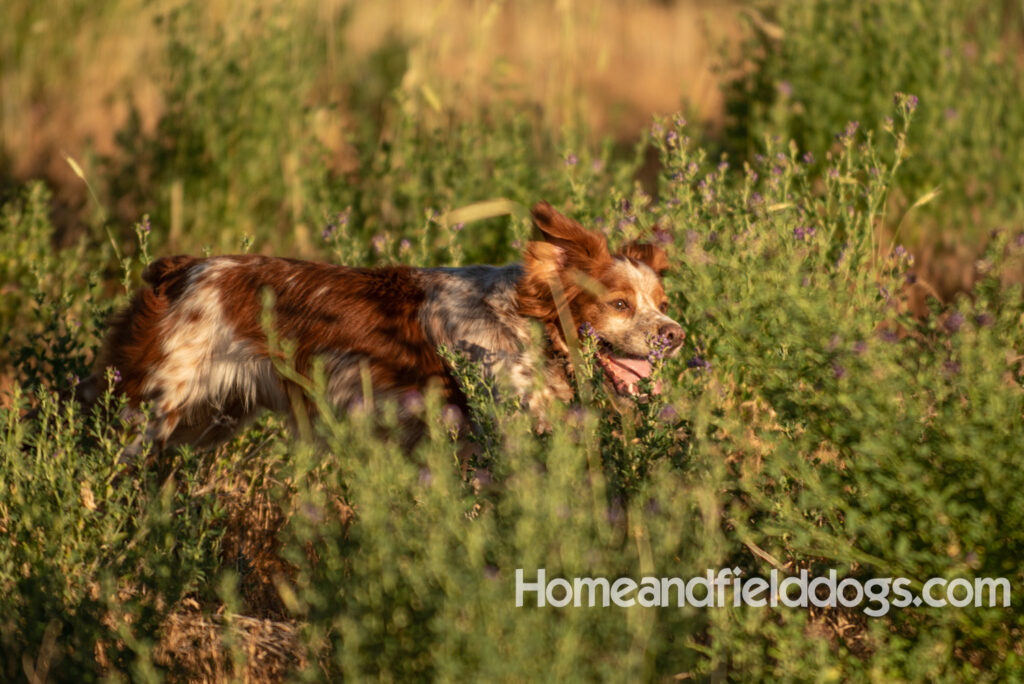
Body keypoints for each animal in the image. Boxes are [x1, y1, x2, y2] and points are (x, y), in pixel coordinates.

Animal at [83, 200, 684, 450]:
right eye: (619, 304)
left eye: (661, 300)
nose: (674, 335)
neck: (524, 331)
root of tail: (179, 269)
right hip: (146, 416)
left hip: (203, 425)